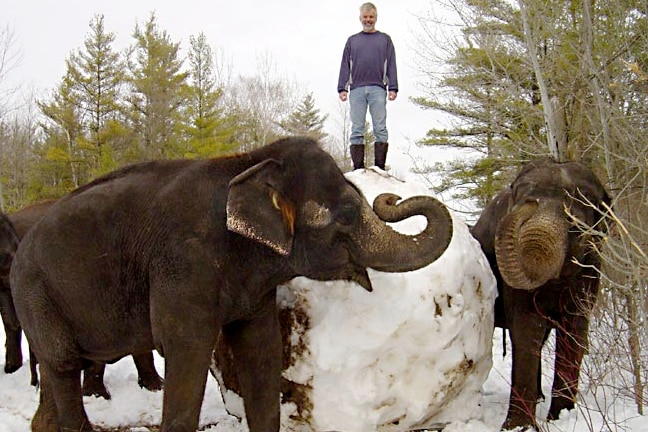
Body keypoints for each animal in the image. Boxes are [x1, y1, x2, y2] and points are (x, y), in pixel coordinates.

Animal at [470, 157, 612, 430]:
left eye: (574, 227)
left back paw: (540, 398)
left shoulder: (591, 268)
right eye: (519, 195)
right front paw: (519, 427)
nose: (530, 202)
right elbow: (526, 327)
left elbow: (575, 330)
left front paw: (561, 416)